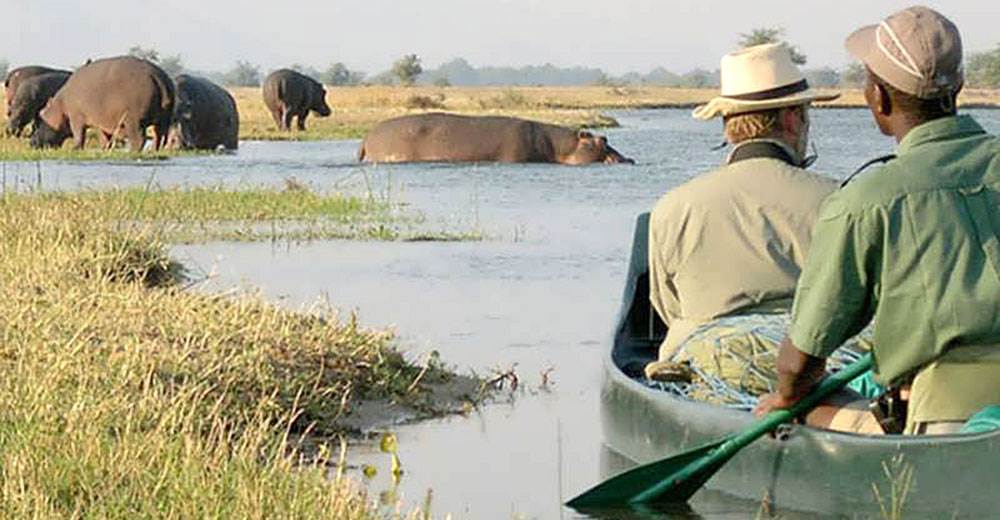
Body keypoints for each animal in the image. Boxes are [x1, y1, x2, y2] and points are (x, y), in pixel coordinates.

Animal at [30, 56, 175, 152]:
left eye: (40, 117)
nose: (31, 143)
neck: (59, 106)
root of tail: (157, 76)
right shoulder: (103, 121)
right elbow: (104, 137)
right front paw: (104, 149)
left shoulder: (76, 118)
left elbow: (79, 135)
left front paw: (75, 149)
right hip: (163, 120)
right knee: (159, 137)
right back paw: (154, 151)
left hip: (133, 120)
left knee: (139, 139)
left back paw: (131, 152)